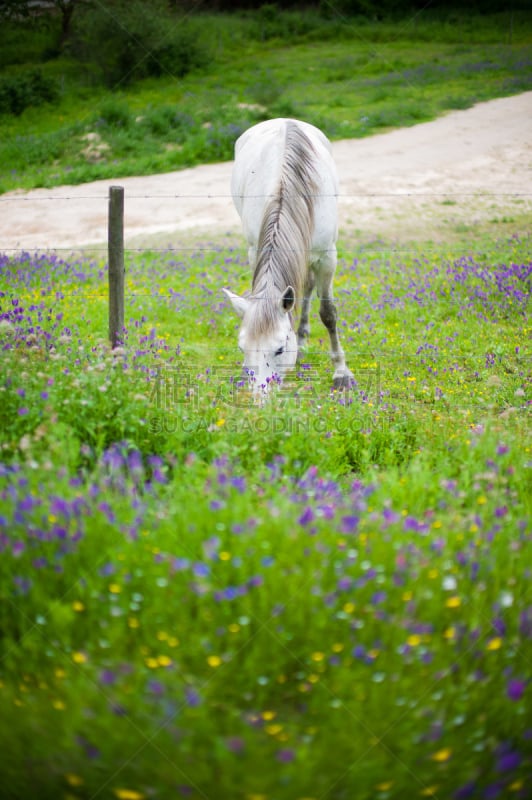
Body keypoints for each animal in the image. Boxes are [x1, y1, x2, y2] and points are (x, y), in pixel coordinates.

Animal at [222, 116, 352, 396]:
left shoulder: (328, 256)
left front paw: (341, 373)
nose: (260, 393)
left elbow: (328, 313)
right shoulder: (254, 250)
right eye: (242, 348)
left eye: (280, 349)